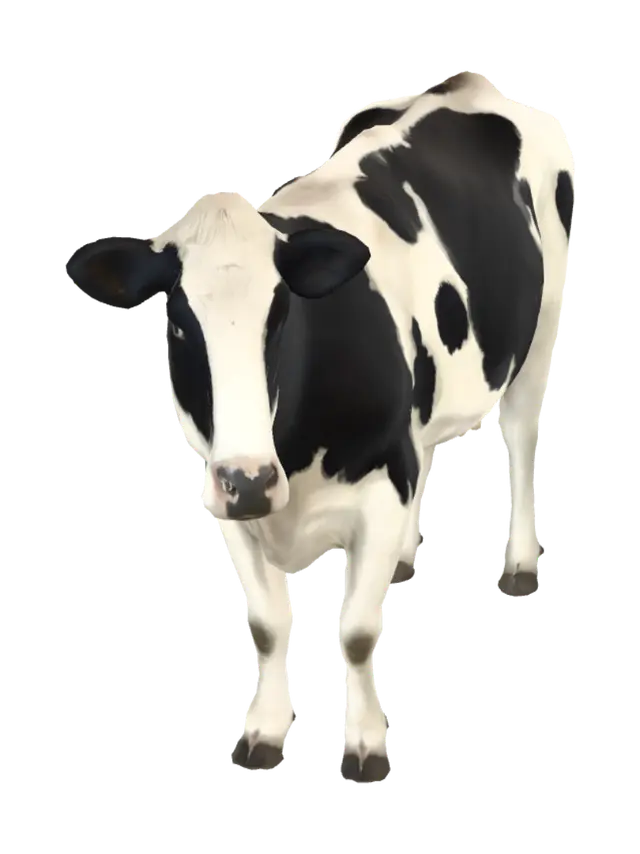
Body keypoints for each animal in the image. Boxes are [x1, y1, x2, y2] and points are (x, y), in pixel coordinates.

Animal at [65, 70, 574, 784]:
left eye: (282, 315)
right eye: (178, 323)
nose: (252, 481)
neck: (292, 455)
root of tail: (467, 83)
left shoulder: (381, 479)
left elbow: (356, 633)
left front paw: (365, 746)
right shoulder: (225, 496)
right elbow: (267, 625)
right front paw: (263, 735)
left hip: (543, 323)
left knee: (522, 439)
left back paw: (521, 565)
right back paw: (403, 559)